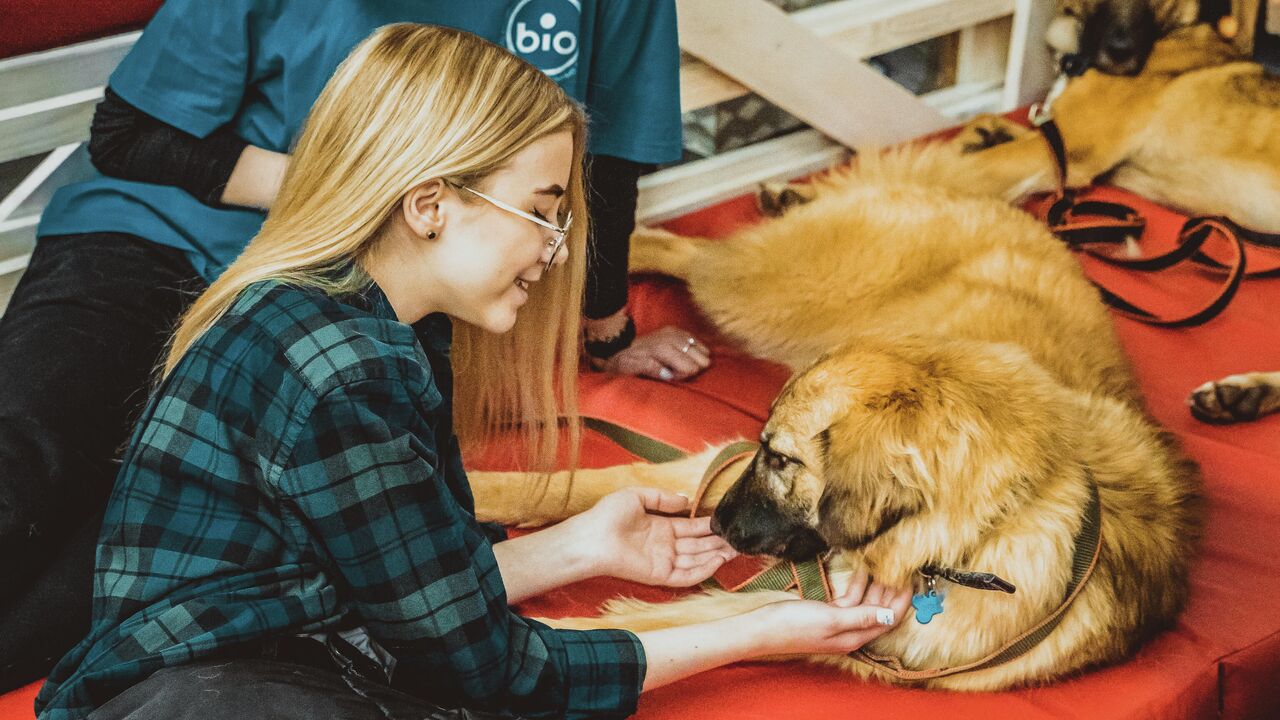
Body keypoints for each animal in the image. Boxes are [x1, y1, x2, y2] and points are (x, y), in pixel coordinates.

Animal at [471, 146, 1198, 691]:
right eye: (767, 448)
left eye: (782, 458)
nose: (715, 523)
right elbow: (591, 483)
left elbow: (641, 632)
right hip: (767, 292)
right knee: (670, 247)